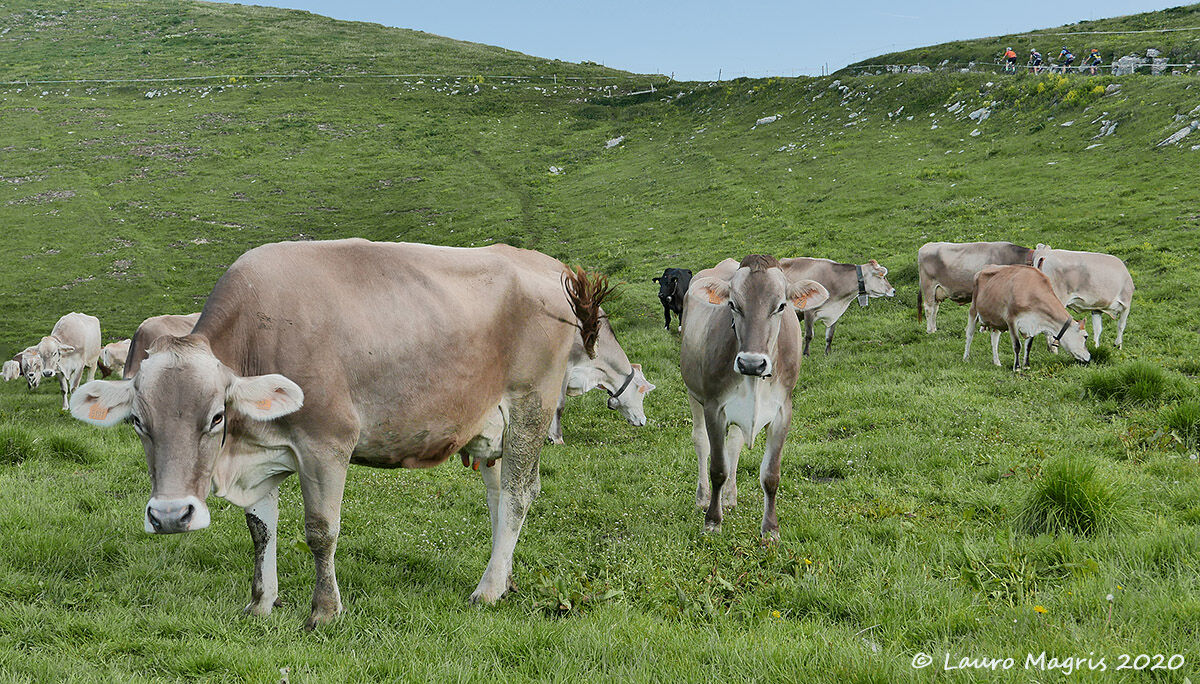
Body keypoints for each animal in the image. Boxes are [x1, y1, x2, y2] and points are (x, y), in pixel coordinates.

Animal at [69, 238, 612, 629]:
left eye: (216, 417)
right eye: (139, 422)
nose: (169, 516)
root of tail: (545, 264)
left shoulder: (325, 442)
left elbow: (320, 531)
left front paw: (324, 612)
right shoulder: (263, 454)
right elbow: (260, 530)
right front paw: (261, 604)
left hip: (530, 405)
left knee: (519, 495)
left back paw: (489, 589)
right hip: (490, 426)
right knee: (500, 499)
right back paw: (505, 580)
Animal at [680, 255, 829, 539]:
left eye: (781, 305)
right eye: (732, 304)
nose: (751, 363)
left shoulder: (783, 411)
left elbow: (770, 475)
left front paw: (770, 530)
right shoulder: (714, 407)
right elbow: (718, 468)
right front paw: (712, 521)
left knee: (734, 445)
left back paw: (730, 497)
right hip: (694, 393)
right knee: (700, 441)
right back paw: (703, 497)